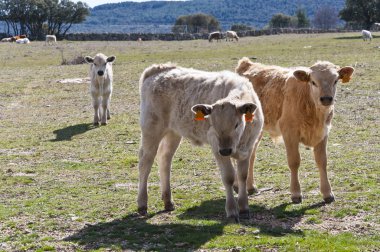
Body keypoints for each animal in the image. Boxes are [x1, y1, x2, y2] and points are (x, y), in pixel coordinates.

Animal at [137, 63, 264, 220]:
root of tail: (158, 70)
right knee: (145, 162)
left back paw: (168, 201)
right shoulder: (216, 147)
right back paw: (142, 204)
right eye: (212, 125)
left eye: (236, 124)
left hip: (173, 132)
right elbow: (228, 176)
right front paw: (232, 210)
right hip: (151, 129)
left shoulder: (248, 147)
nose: (226, 150)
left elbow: (242, 176)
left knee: (165, 159)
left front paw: (244, 208)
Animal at [236, 58, 354, 204]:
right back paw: (237, 186)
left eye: (336, 80)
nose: (326, 99)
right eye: (313, 82)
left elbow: (322, 161)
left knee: (250, 154)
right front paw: (296, 193)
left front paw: (327, 193)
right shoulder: (289, 133)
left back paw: (250, 186)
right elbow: (294, 161)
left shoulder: (323, 133)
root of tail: (246, 64)